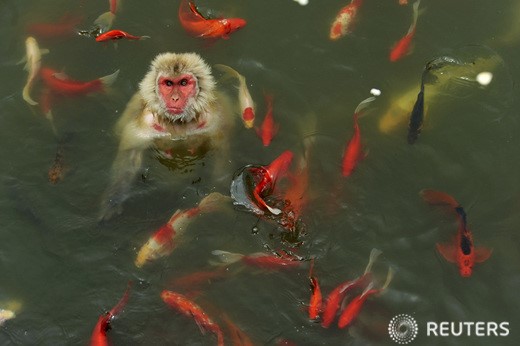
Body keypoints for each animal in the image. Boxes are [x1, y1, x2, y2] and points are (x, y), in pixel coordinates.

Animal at [99, 52, 234, 220]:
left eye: (183, 83)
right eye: (168, 83)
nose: (175, 98)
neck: (178, 123)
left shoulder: (215, 121)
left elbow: (221, 158)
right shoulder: (145, 124)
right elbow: (129, 160)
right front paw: (113, 200)